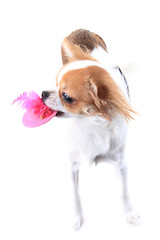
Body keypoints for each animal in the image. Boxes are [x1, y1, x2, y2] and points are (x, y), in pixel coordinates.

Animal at [41, 29, 140, 230]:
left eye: (66, 97)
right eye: (54, 83)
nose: (43, 94)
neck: (89, 123)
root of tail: (80, 29)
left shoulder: (121, 163)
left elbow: (124, 192)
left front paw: (129, 214)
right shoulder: (72, 166)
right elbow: (75, 197)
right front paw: (77, 219)